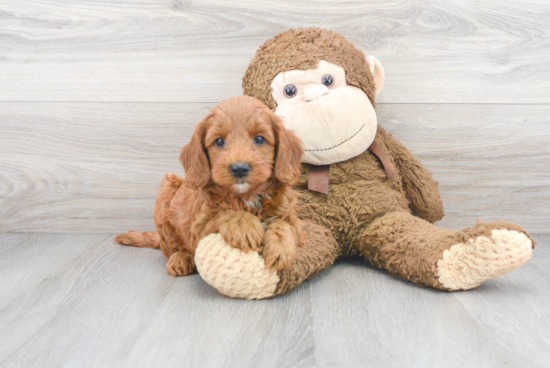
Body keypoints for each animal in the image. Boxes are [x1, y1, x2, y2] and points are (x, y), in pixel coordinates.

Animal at [116, 96, 306, 278]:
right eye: (219, 142)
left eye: (259, 139)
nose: (239, 168)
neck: (246, 196)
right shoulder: (197, 228)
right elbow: (224, 212)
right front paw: (243, 226)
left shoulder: (296, 223)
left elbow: (284, 225)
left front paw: (280, 246)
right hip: (167, 192)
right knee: (173, 248)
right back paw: (180, 259)